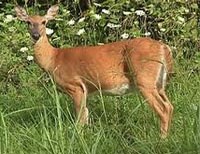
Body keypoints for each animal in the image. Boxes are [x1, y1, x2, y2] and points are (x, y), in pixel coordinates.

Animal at [14, 4, 173, 138]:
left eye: (44, 22)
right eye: (28, 22)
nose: (35, 35)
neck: (53, 59)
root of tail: (164, 47)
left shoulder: (75, 86)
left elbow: (79, 118)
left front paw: (78, 138)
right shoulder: (85, 90)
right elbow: (86, 115)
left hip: (144, 79)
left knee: (164, 108)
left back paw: (162, 139)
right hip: (159, 82)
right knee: (170, 106)